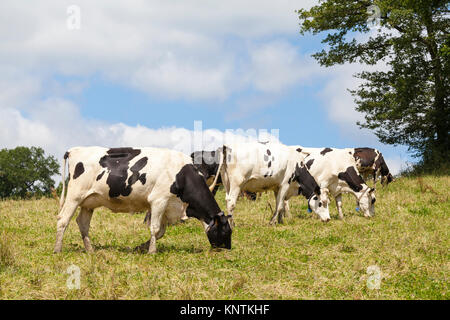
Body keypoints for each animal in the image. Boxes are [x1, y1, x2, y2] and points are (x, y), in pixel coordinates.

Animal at [56, 146, 232, 254]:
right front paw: (152, 251)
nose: (227, 249)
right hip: (74, 196)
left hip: (89, 202)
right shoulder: (158, 200)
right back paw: (57, 249)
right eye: (226, 231)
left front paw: (141, 247)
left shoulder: (167, 206)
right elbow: (155, 229)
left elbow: (160, 232)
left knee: (82, 223)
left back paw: (90, 250)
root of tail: (74, 150)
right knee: (63, 220)